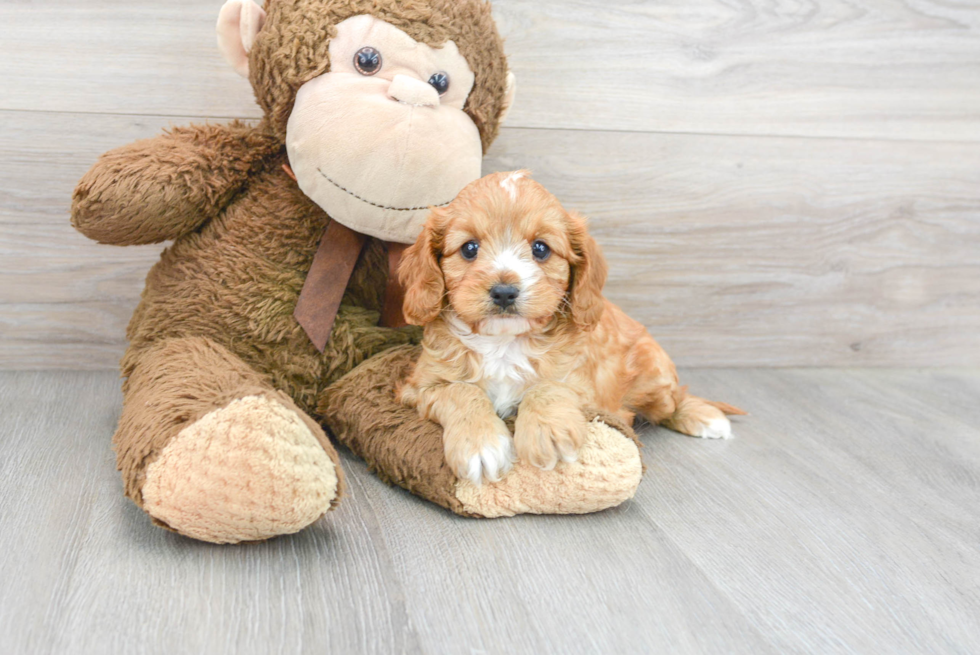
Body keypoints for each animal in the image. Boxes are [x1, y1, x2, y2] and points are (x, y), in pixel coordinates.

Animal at [396, 172, 744, 484]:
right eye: (469, 249)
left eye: (540, 248)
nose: (504, 292)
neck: (504, 342)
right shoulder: (421, 386)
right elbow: (461, 390)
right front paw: (481, 445)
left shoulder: (581, 385)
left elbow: (548, 387)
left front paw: (548, 431)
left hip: (655, 375)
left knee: (674, 399)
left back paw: (706, 418)